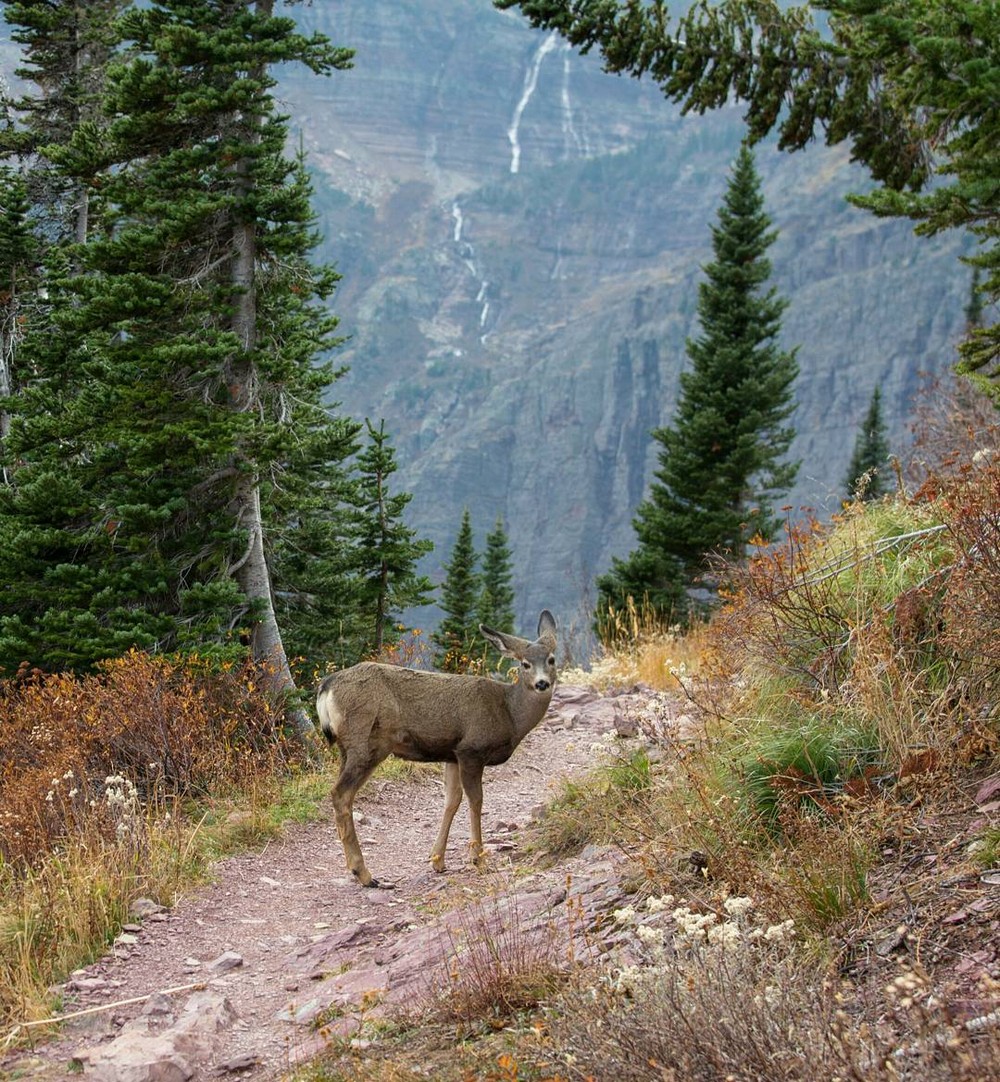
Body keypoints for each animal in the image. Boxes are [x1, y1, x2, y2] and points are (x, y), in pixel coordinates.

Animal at [316, 610, 558, 887]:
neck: (510, 714)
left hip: (346, 748)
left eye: (551, 659)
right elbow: (476, 800)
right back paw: (364, 874)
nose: (542, 684)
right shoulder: (472, 749)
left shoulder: (452, 754)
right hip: (367, 743)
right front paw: (478, 859)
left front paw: (438, 860)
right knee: (341, 793)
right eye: (525, 664)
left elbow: (452, 801)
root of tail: (327, 687)